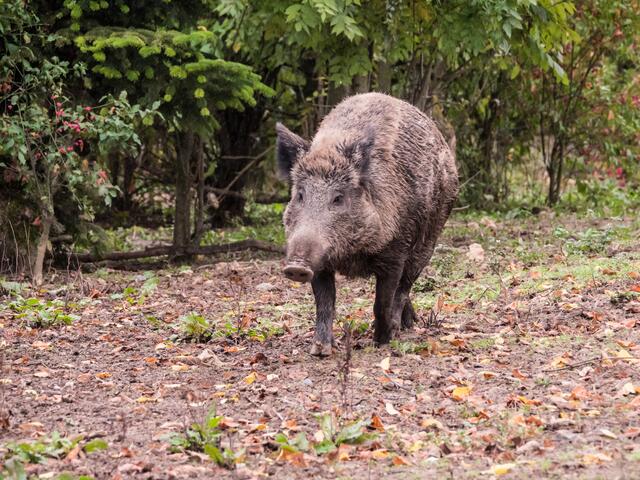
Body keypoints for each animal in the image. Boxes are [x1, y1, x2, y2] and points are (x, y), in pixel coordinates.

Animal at [276, 92, 458, 356]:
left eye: (338, 198)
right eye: (300, 194)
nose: (296, 267)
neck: (353, 255)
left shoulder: (395, 252)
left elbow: (382, 301)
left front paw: (382, 342)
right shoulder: (320, 262)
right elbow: (325, 303)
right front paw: (320, 350)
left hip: (431, 237)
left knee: (405, 286)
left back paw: (401, 329)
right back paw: (409, 323)